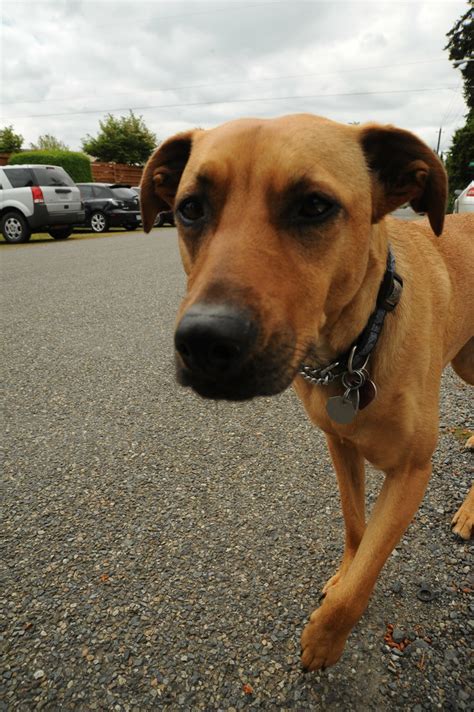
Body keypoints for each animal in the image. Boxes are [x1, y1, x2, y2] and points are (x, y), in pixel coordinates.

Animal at [139, 114, 472, 672]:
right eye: (191, 208)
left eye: (314, 206)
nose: (204, 341)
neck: (357, 348)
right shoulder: (340, 445)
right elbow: (357, 530)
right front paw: (342, 576)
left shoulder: (412, 473)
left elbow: (366, 572)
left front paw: (326, 637)